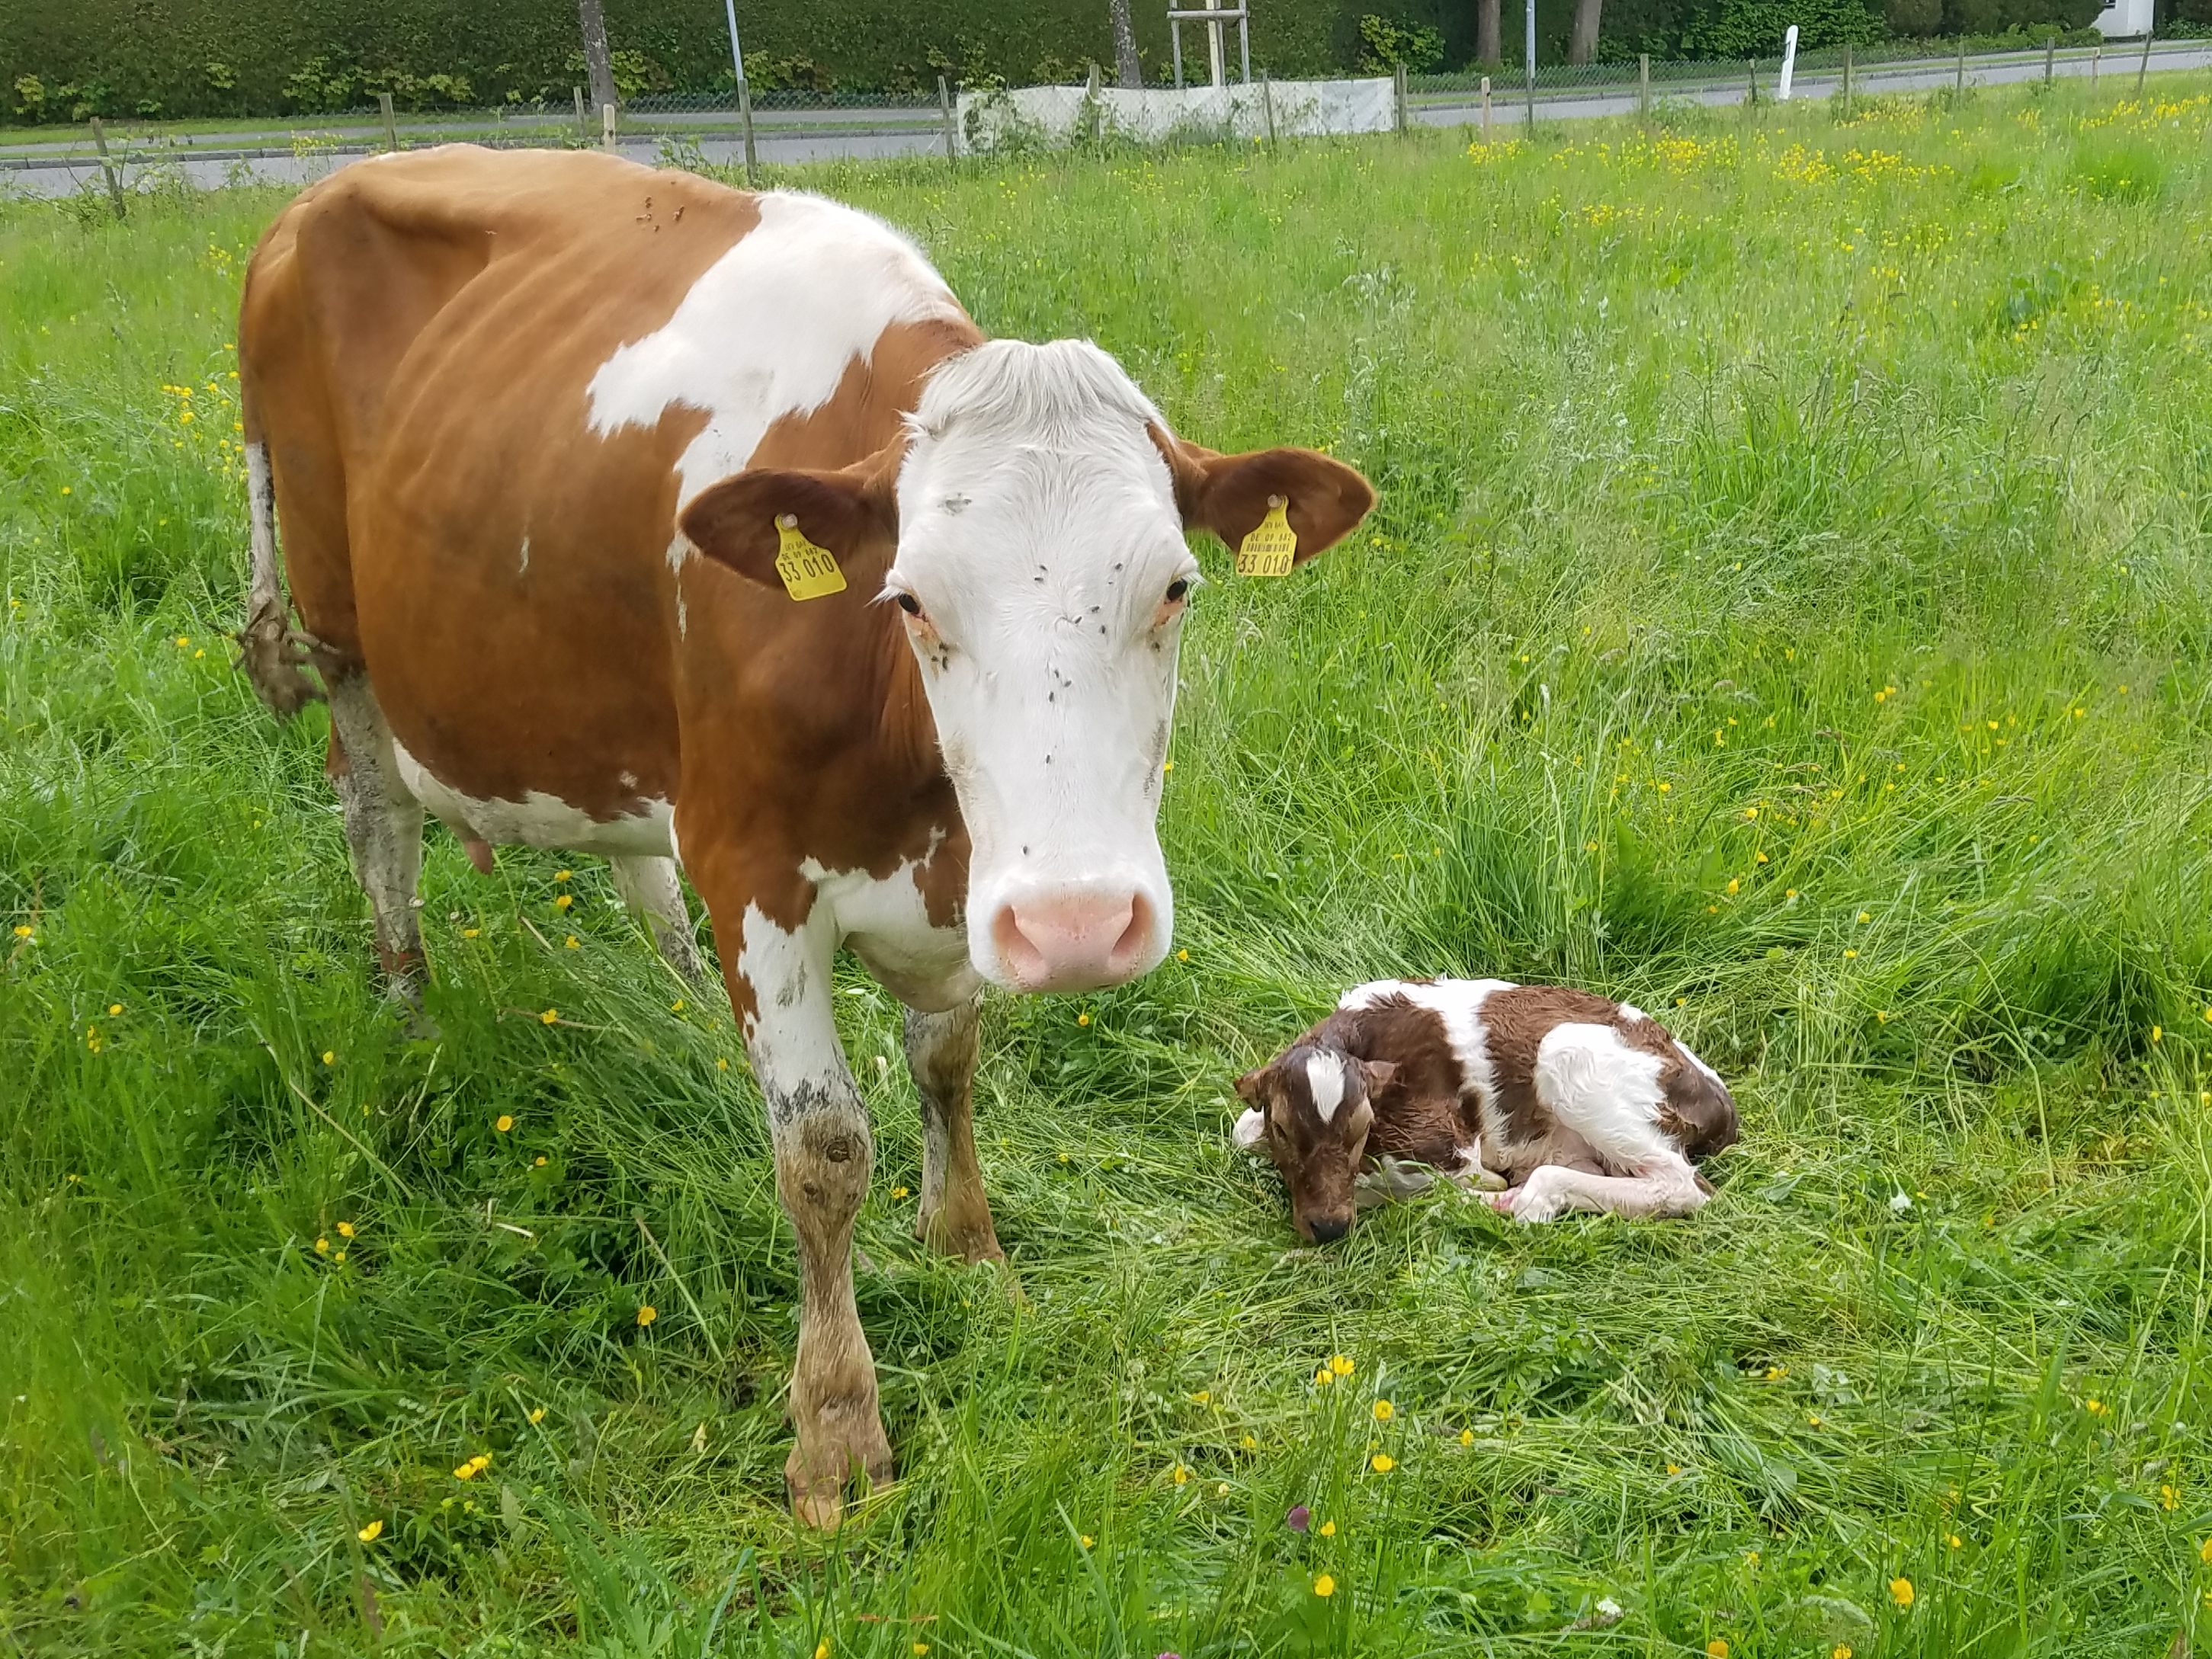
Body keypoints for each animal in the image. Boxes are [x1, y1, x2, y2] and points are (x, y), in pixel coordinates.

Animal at [242, 149, 1371, 1530]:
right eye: (911, 600)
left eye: (1174, 587)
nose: (1075, 926)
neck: (912, 791)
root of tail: (317, 196)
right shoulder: (753, 865)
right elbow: (824, 1148)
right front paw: (835, 1425)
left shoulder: (955, 884)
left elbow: (949, 1063)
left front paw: (969, 1255)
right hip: (340, 628)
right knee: (380, 823)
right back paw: (406, 1013)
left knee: (636, 867)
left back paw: (681, 1014)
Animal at [1239, 982, 1734, 1238]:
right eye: (1283, 1129)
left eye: (1362, 1128)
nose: (1329, 1227)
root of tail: (1723, 1107)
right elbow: (1242, 1130)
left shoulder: (1452, 1147)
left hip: (1567, 1053)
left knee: (1684, 1186)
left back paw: (1523, 1199)